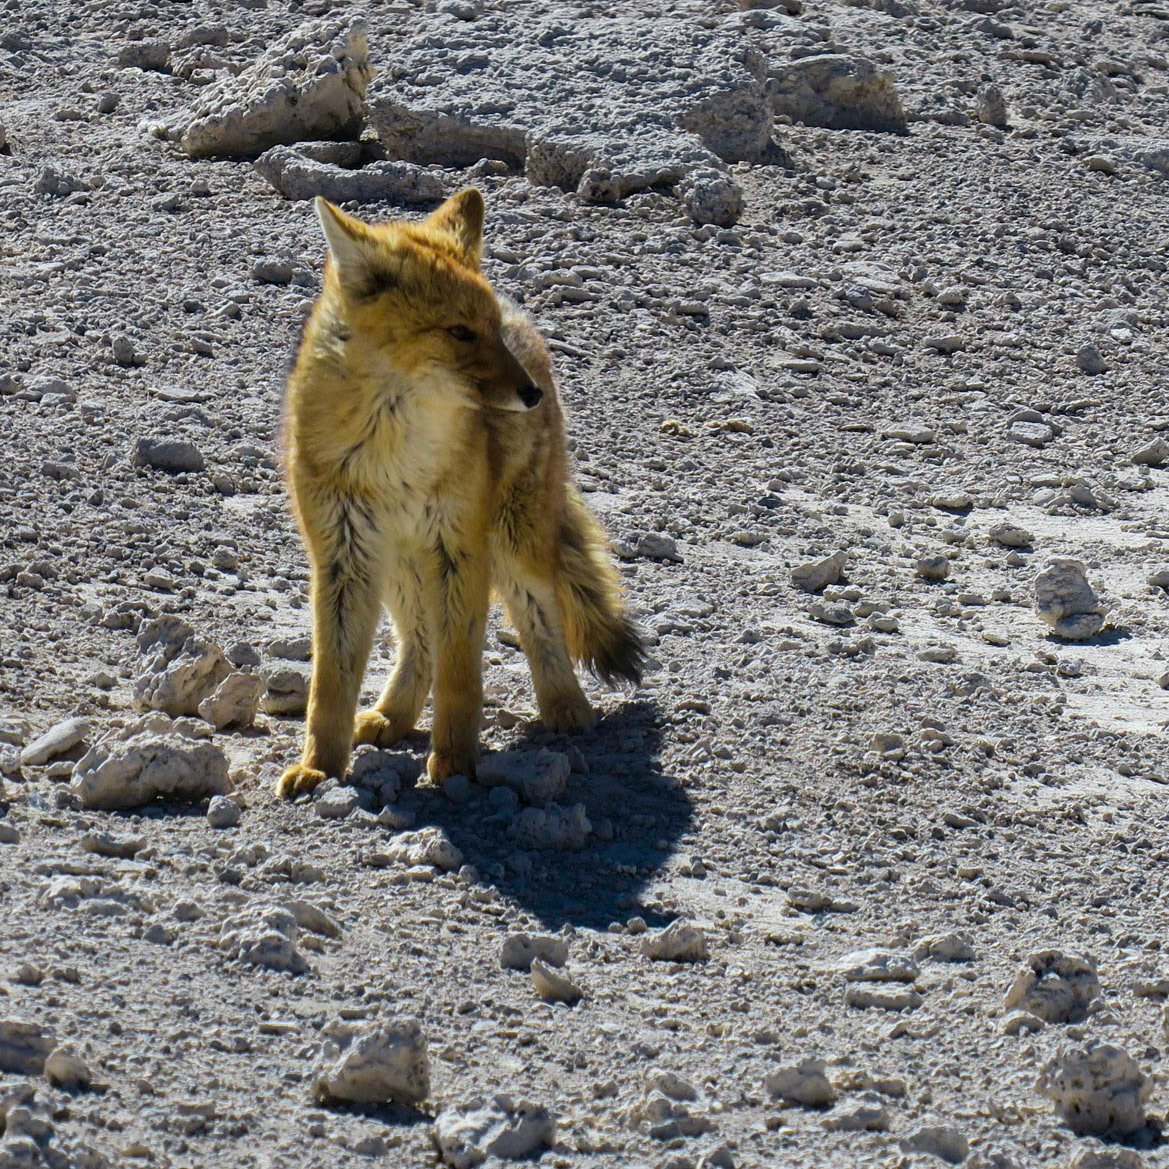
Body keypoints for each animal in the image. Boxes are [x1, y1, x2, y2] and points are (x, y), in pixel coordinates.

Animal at [276, 188, 645, 799]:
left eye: (490, 329)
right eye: (458, 332)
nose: (530, 394)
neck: (393, 456)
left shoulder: (459, 548)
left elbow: (460, 675)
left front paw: (453, 760)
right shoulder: (342, 554)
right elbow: (331, 680)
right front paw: (321, 767)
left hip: (511, 544)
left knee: (541, 617)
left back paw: (565, 704)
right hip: (399, 565)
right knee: (418, 643)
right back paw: (394, 713)